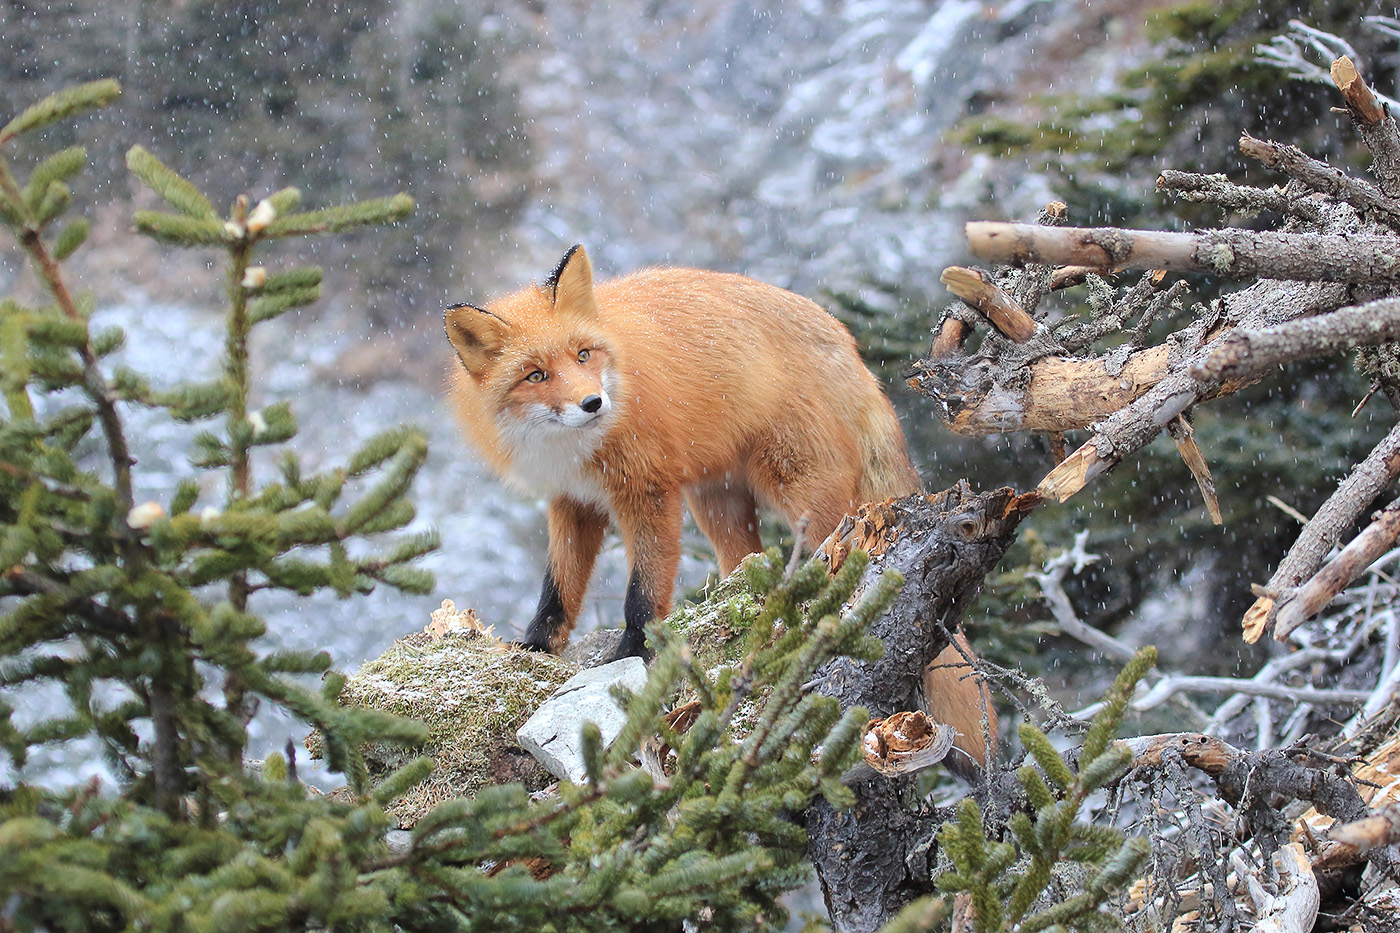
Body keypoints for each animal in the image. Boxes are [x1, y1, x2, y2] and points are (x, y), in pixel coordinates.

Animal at [445, 243, 996, 767]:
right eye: (536, 375)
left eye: (583, 355)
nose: (592, 404)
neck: (574, 450)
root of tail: (846, 340)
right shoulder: (573, 501)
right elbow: (558, 589)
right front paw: (536, 648)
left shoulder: (649, 491)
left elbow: (643, 592)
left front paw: (636, 654)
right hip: (717, 504)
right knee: (745, 561)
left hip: (798, 492)